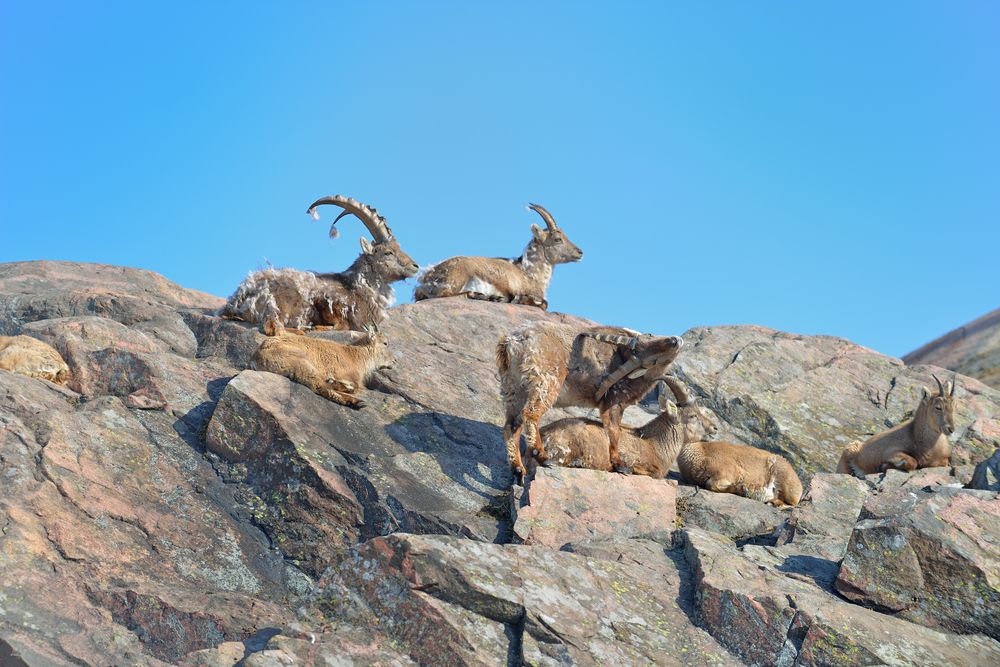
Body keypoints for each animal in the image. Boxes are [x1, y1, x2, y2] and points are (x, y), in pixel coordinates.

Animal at [221, 196, 420, 336]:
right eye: (388, 252)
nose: (415, 266)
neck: (360, 286)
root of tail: (242, 293)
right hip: (285, 304)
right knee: (275, 326)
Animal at [248, 332, 392, 410]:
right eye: (385, 343)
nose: (394, 361)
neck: (354, 357)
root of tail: (255, 358)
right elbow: (355, 387)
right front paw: (346, 386)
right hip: (301, 361)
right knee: (318, 385)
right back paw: (355, 400)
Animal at [416, 204, 584, 310]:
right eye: (557, 239)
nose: (580, 252)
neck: (528, 273)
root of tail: (424, 280)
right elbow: (543, 304)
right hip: (458, 277)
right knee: (447, 295)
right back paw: (484, 296)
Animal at [494, 320, 684, 480]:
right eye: (651, 360)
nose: (675, 340)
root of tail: (512, 341)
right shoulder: (614, 399)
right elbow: (614, 430)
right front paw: (619, 464)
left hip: (513, 388)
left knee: (511, 425)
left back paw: (518, 469)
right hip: (545, 380)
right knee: (530, 414)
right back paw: (541, 455)